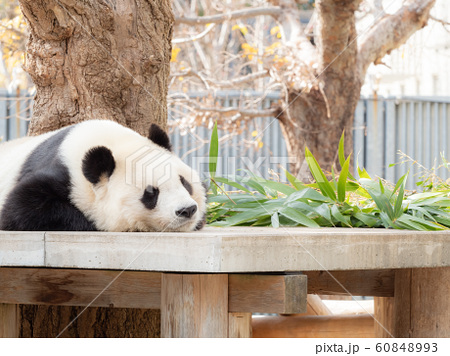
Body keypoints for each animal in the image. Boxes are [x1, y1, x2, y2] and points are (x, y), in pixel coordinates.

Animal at [0, 120, 207, 231]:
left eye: (184, 182)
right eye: (150, 193)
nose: (187, 210)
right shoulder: (62, 174)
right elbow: (20, 207)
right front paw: (89, 222)